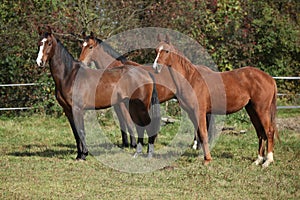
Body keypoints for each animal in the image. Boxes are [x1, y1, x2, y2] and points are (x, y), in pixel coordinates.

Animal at [35, 27, 162, 159]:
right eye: (39, 43)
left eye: (49, 43)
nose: (40, 62)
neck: (69, 76)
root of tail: (145, 73)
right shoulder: (68, 111)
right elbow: (76, 133)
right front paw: (79, 155)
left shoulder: (77, 109)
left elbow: (81, 131)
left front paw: (84, 155)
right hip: (132, 105)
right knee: (140, 126)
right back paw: (137, 153)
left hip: (141, 107)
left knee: (147, 125)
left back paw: (148, 154)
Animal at [78, 32, 216, 151]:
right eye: (82, 46)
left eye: (90, 47)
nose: (81, 63)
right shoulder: (117, 105)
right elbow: (122, 123)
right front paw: (125, 143)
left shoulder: (125, 103)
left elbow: (129, 122)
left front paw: (133, 144)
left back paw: (196, 145)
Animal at [152, 35, 278, 167]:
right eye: (156, 50)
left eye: (166, 51)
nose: (156, 68)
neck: (191, 79)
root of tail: (269, 78)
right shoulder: (192, 113)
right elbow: (199, 135)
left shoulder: (200, 112)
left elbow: (203, 134)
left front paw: (207, 159)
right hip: (252, 110)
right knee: (260, 132)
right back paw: (258, 160)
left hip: (261, 110)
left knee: (269, 131)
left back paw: (267, 161)